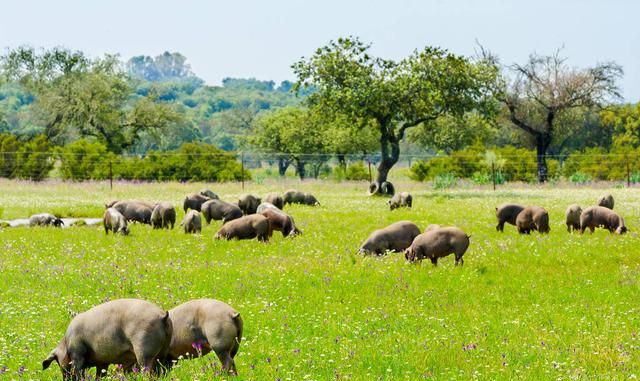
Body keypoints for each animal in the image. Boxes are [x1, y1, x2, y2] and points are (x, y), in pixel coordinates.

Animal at [42, 298, 172, 378]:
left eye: (58, 362)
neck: (66, 343)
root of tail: (162, 316)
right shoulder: (102, 362)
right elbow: (99, 375)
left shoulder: (77, 355)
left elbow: (79, 372)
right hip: (163, 352)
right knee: (162, 370)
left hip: (144, 350)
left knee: (147, 371)